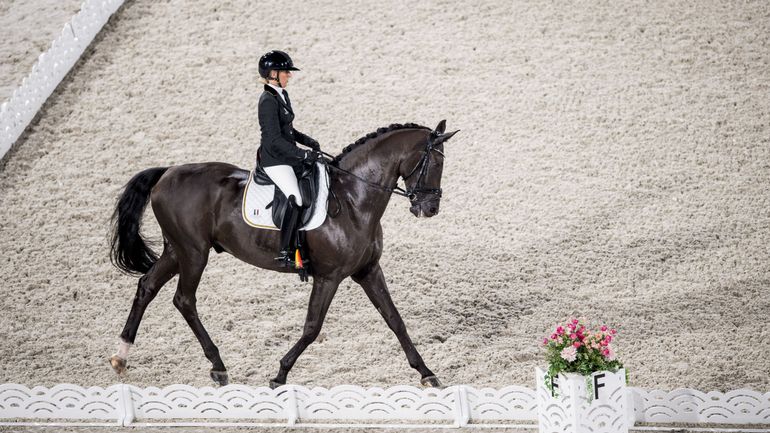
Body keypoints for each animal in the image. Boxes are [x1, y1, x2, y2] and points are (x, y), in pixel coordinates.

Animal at [108, 120, 456, 386]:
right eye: (435, 163)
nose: (430, 209)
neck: (354, 200)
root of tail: (167, 172)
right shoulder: (329, 277)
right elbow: (312, 327)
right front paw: (280, 374)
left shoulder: (368, 271)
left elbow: (395, 320)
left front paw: (426, 373)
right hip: (194, 253)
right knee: (184, 300)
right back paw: (218, 365)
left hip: (176, 250)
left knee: (147, 286)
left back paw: (121, 356)